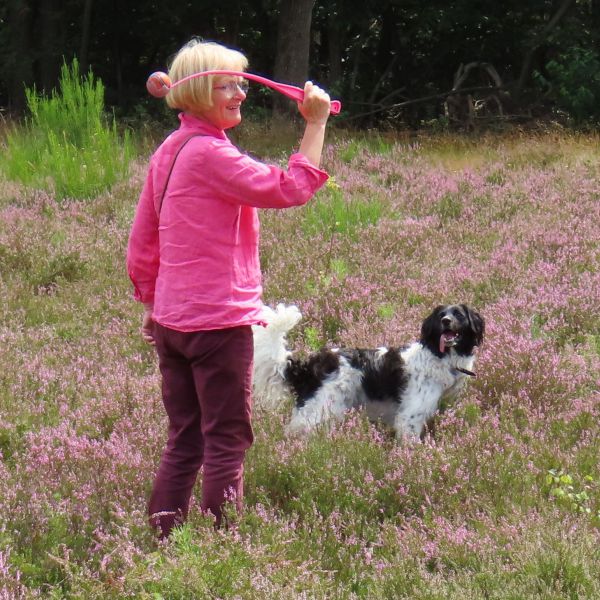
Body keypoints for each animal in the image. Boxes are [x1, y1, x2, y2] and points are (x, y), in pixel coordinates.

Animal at [252, 304, 482, 440]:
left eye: (459, 314)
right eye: (441, 315)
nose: (446, 321)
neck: (438, 355)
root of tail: (309, 364)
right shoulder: (409, 417)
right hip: (318, 410)